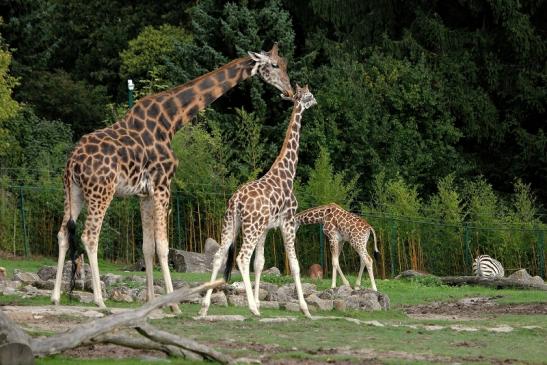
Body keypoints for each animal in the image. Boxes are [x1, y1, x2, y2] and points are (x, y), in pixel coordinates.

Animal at [50, 44, 296, 308]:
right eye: (274, 65)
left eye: (285, 64)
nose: (289, 91)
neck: (172, 119)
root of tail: (72, 161)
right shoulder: (163, 185)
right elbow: (163, 246)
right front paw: (173, 304)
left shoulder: (144, 193)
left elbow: (148, 246)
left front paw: (150, 300)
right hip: (101, 192)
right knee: (89, 237)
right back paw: (99, 300)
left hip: (73, 191)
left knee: (63, 234)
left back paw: (55, 296)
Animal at [200, 84, 316, 318]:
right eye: (309, 95)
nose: (316, 101)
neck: (287, 173)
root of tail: (236, 200)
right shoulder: (288, 222)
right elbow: (295, 264)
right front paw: (305, 309)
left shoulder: (266, 228)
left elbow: (260, 263)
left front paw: (259, 301)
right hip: (250, 227)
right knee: (242, 258)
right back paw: (252, 309)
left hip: (231, 224)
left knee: (219, 255)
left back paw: (205, 307)